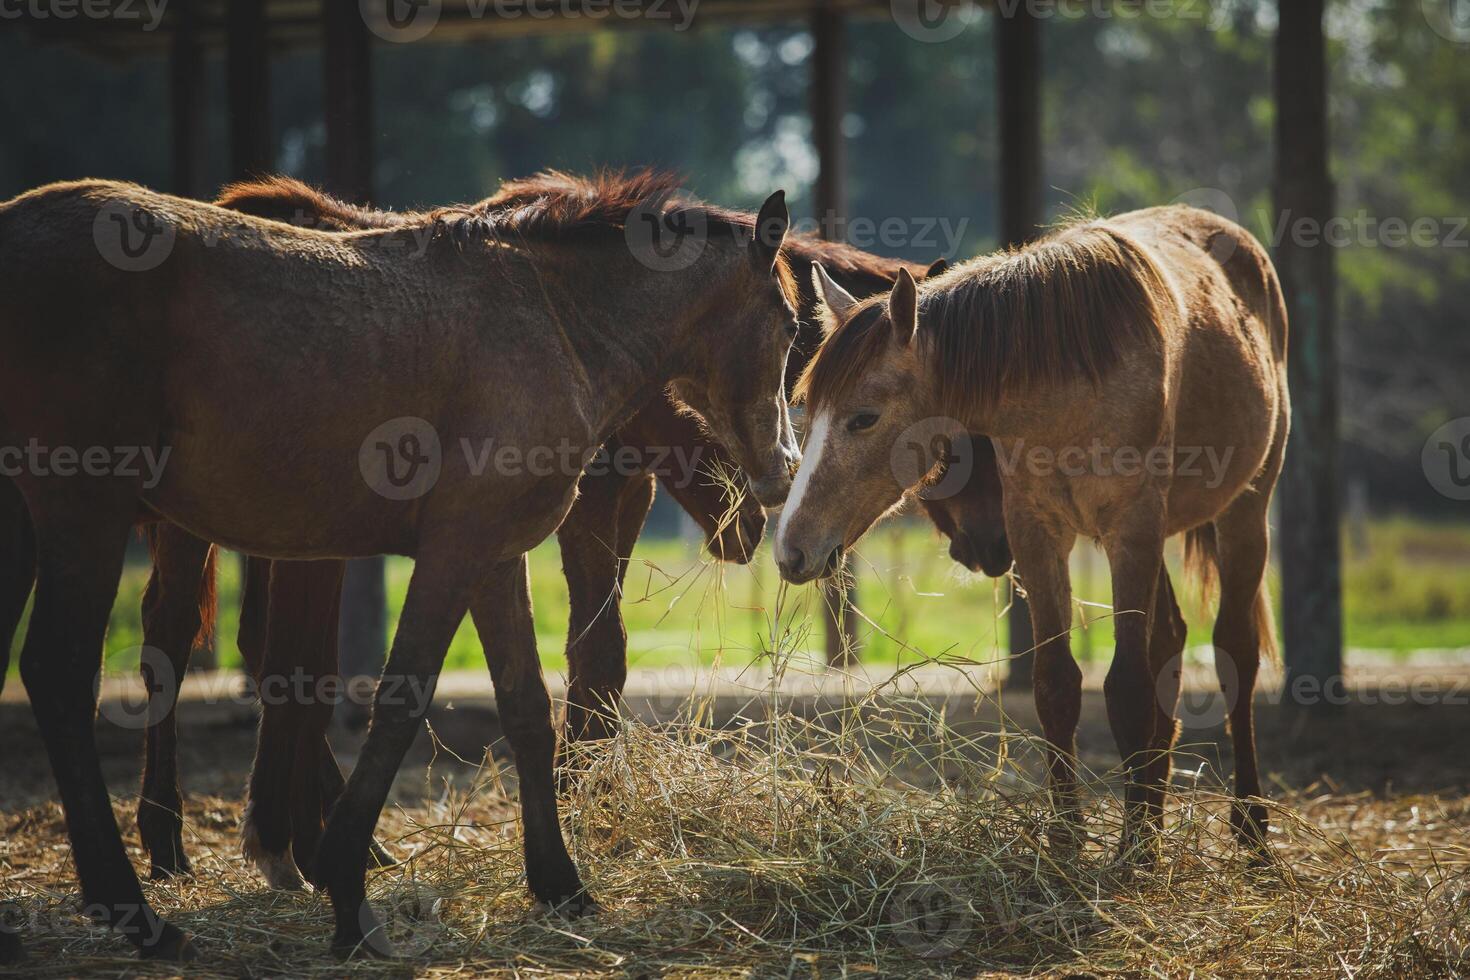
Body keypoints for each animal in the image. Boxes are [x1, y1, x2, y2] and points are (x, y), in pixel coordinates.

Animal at [2, 170, 805, 957]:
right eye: (793, 326)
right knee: (61, 672)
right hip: (87, 510)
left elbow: (526, 708)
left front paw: (559, 883)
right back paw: (136, 909)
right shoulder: (454, 550)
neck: (553, 318)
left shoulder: (493, 556)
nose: (784, 471)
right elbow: (399, 700)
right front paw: (345, 885)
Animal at [776, 207, 1293, 858]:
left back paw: (1249, 825)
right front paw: (1070, 841)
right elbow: (1056, 685)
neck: (1069, 373)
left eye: (863, 417)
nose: (790, 549)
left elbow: (1127, 688)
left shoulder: (1131, 532)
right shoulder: (1037, 535)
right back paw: (1152, 819)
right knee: (1172, 641)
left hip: (1245, 511)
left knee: (1235, 653)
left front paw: (1126, 855)